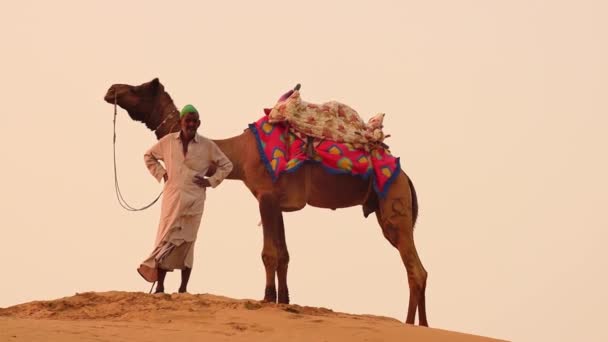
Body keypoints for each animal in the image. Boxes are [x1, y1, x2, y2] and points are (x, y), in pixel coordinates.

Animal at [103, 78, 428, 326]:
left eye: (140, 88)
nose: (111, 90)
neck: (240, 154)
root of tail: (406, 178)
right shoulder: (278, 203)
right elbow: (283, 254)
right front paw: (284, 300)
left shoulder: (266, 196)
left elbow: (269, 254)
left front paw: (267, 297)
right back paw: (414, 323)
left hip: (393, 202)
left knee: (416, 269)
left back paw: (417, 325)